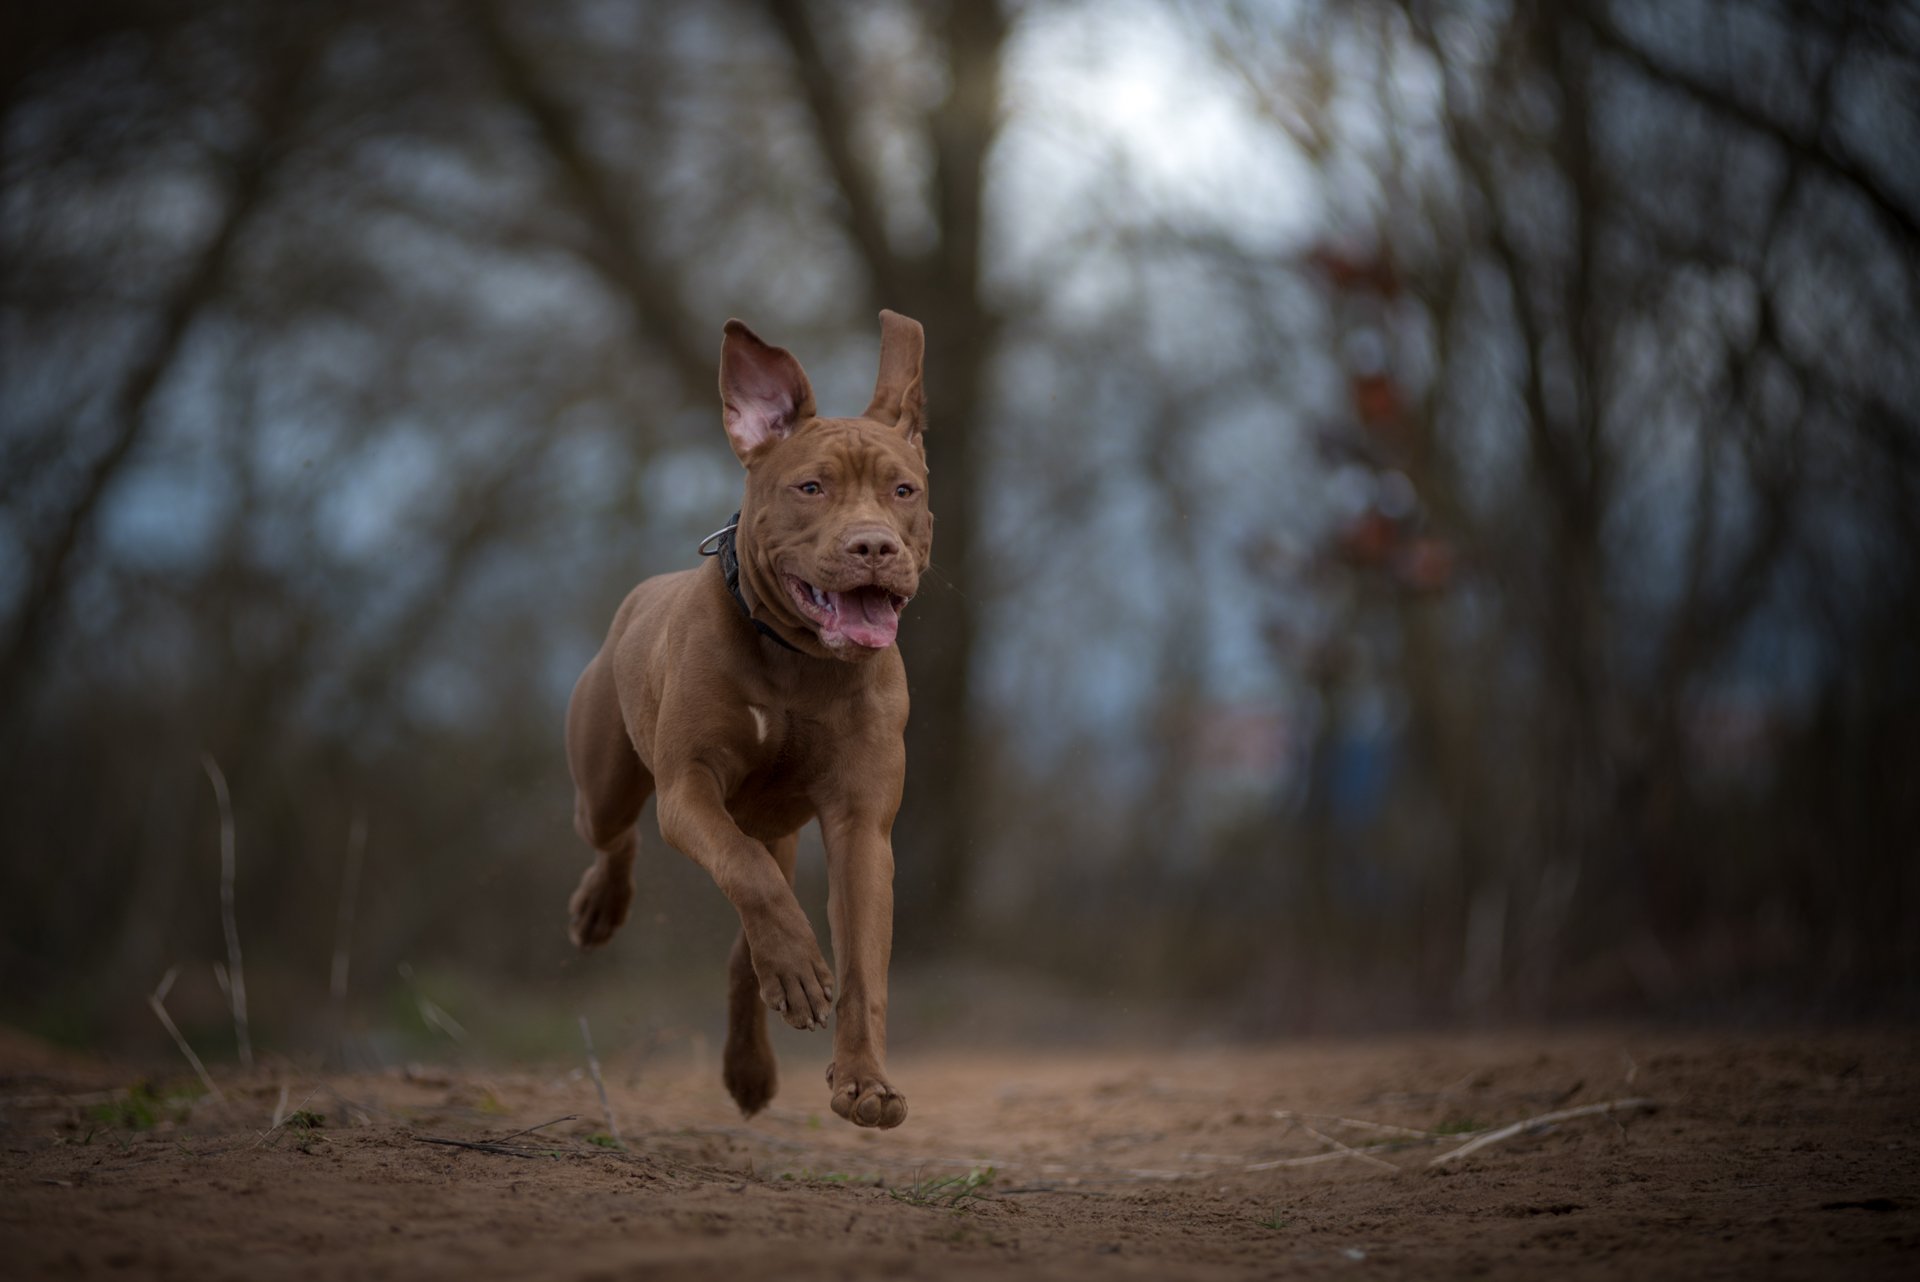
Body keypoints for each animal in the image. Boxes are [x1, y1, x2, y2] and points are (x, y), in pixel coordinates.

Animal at [560, 310, 929, 1128]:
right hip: (607, 780)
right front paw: (795, 966)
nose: (873, 545)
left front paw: (865, 1082)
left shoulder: (863, 822)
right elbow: (748, 875)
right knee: (617, 834)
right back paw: (602, 907)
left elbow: (863, 964)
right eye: (811, 487)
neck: (799, 660)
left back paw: (752, 1064)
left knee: (741, 954)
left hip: (778, 827)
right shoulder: (689, 788)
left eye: (904, 489)